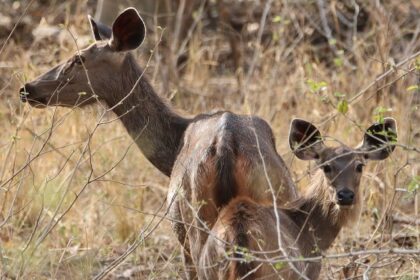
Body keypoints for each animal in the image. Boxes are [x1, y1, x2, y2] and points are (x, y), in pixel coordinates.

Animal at [175, 117, 398, 278]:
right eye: (326, 166)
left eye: (359, 165)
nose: (345, 195)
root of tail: (239, 239)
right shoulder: (310, 271)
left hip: (208, 268)